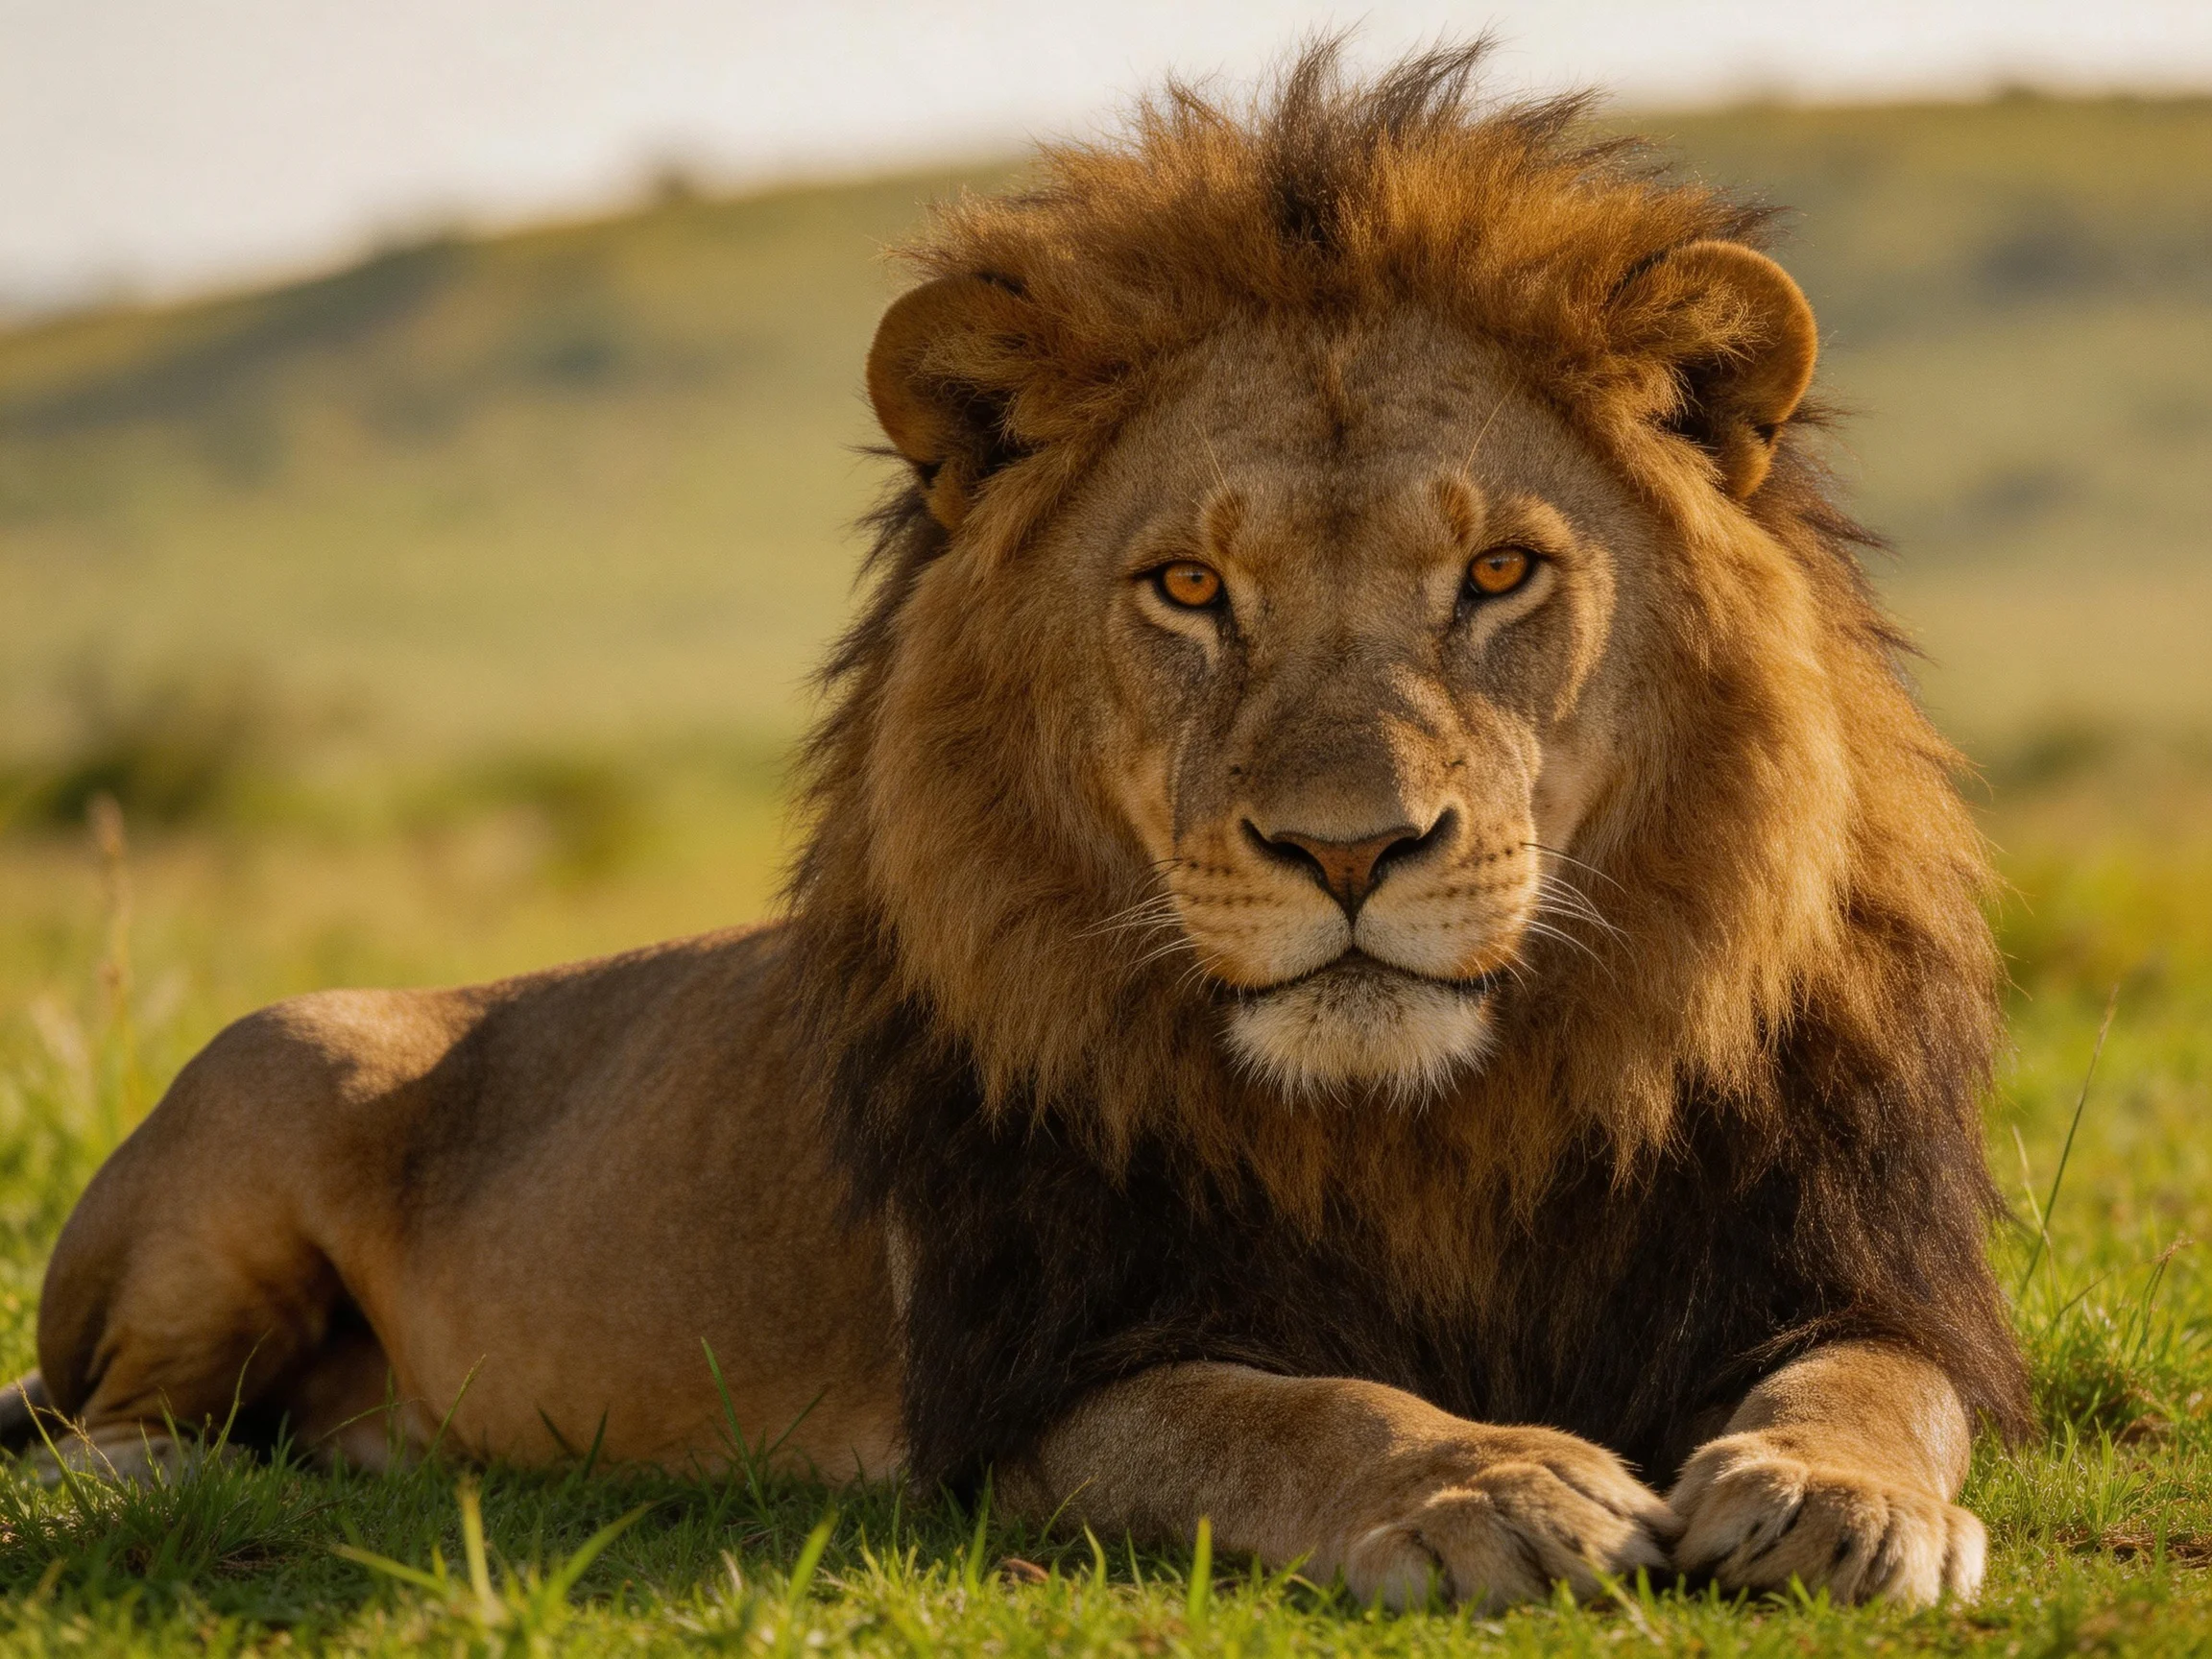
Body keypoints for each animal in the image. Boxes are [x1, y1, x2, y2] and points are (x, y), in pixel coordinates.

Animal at [3, 44, 2029, 1610]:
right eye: (1188, 585)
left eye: (1499, 573)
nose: (1347, 852)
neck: (1426, 1126)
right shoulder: (1035, 1380)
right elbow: (1280, 1406)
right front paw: (1483, 1480)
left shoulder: (1848, 1257)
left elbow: (1878, 1378)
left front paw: (1839, 1496)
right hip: (255, 1085)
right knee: (100, 1418)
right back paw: (159, 1479)